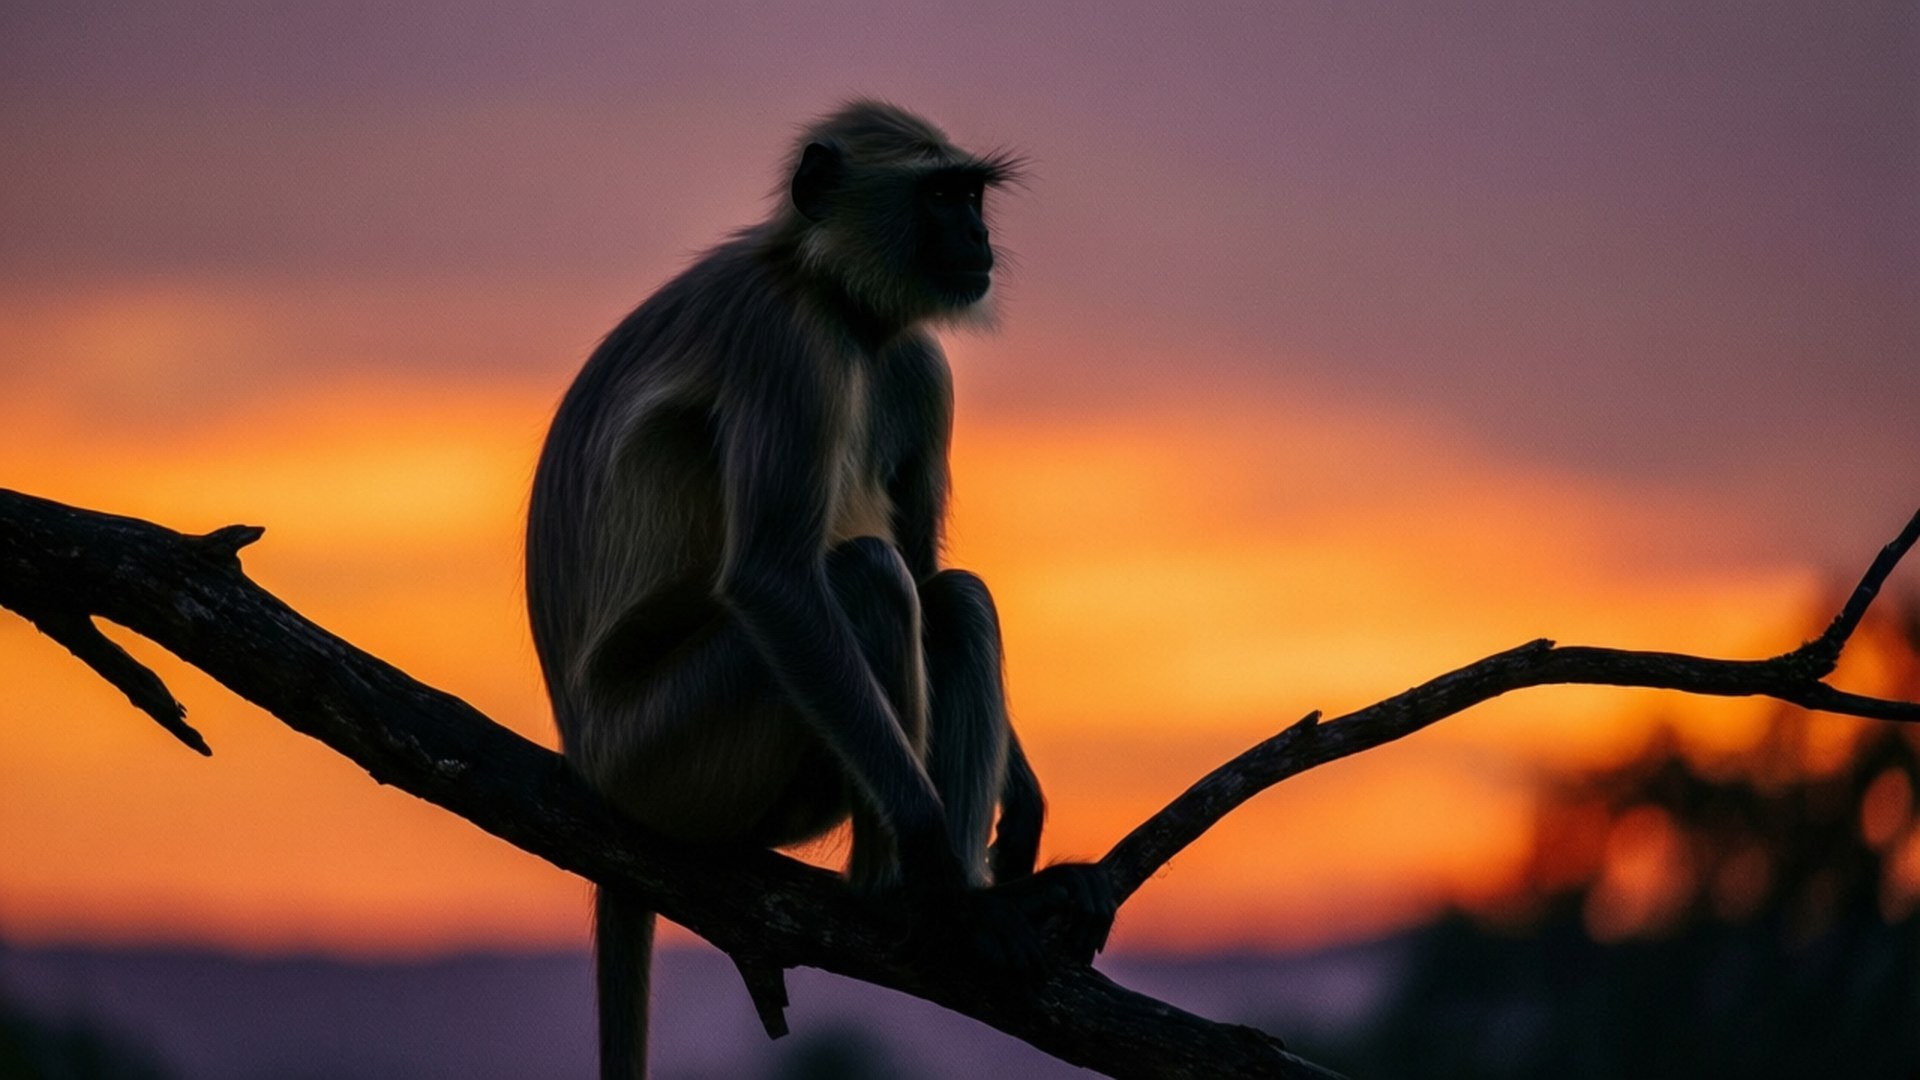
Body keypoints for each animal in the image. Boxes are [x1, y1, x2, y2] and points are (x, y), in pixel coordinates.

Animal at [525, 100, 1115, 1080]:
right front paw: (935, 867)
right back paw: (897, 891)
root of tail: (586, 755)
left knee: (950, 598)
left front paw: (1020, 807)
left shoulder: (915, 360)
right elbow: (775, 578)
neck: (835, 300)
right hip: (664, 756)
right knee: (867, 579)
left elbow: (926, 565)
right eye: (942, 196)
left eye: (971, 196)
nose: (979, 236)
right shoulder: (784, 339)